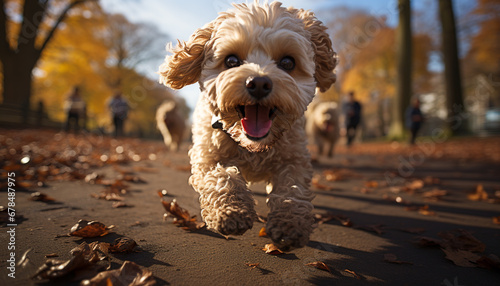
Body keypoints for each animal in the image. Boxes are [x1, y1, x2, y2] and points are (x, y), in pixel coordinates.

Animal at [157, 1, 336, 248]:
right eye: (231, 61)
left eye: (288, 62)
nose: (259, 83)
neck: (253, 147)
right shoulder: (207, 156)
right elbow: (222, 176)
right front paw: (231, 212)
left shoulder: (294, 158)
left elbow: (292, 188)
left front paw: (290, 223)